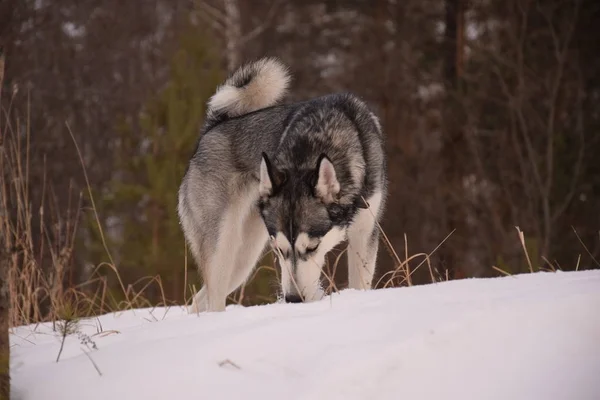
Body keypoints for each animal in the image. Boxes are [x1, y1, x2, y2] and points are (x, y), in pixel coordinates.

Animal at [176, 56, 386, 312]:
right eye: (278, 249)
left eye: (313, 248)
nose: (293, 299)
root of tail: (211, 129)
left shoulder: (365, 232)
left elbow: (360, 283)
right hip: (222, 248)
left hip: (243, 258)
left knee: (199, 300)